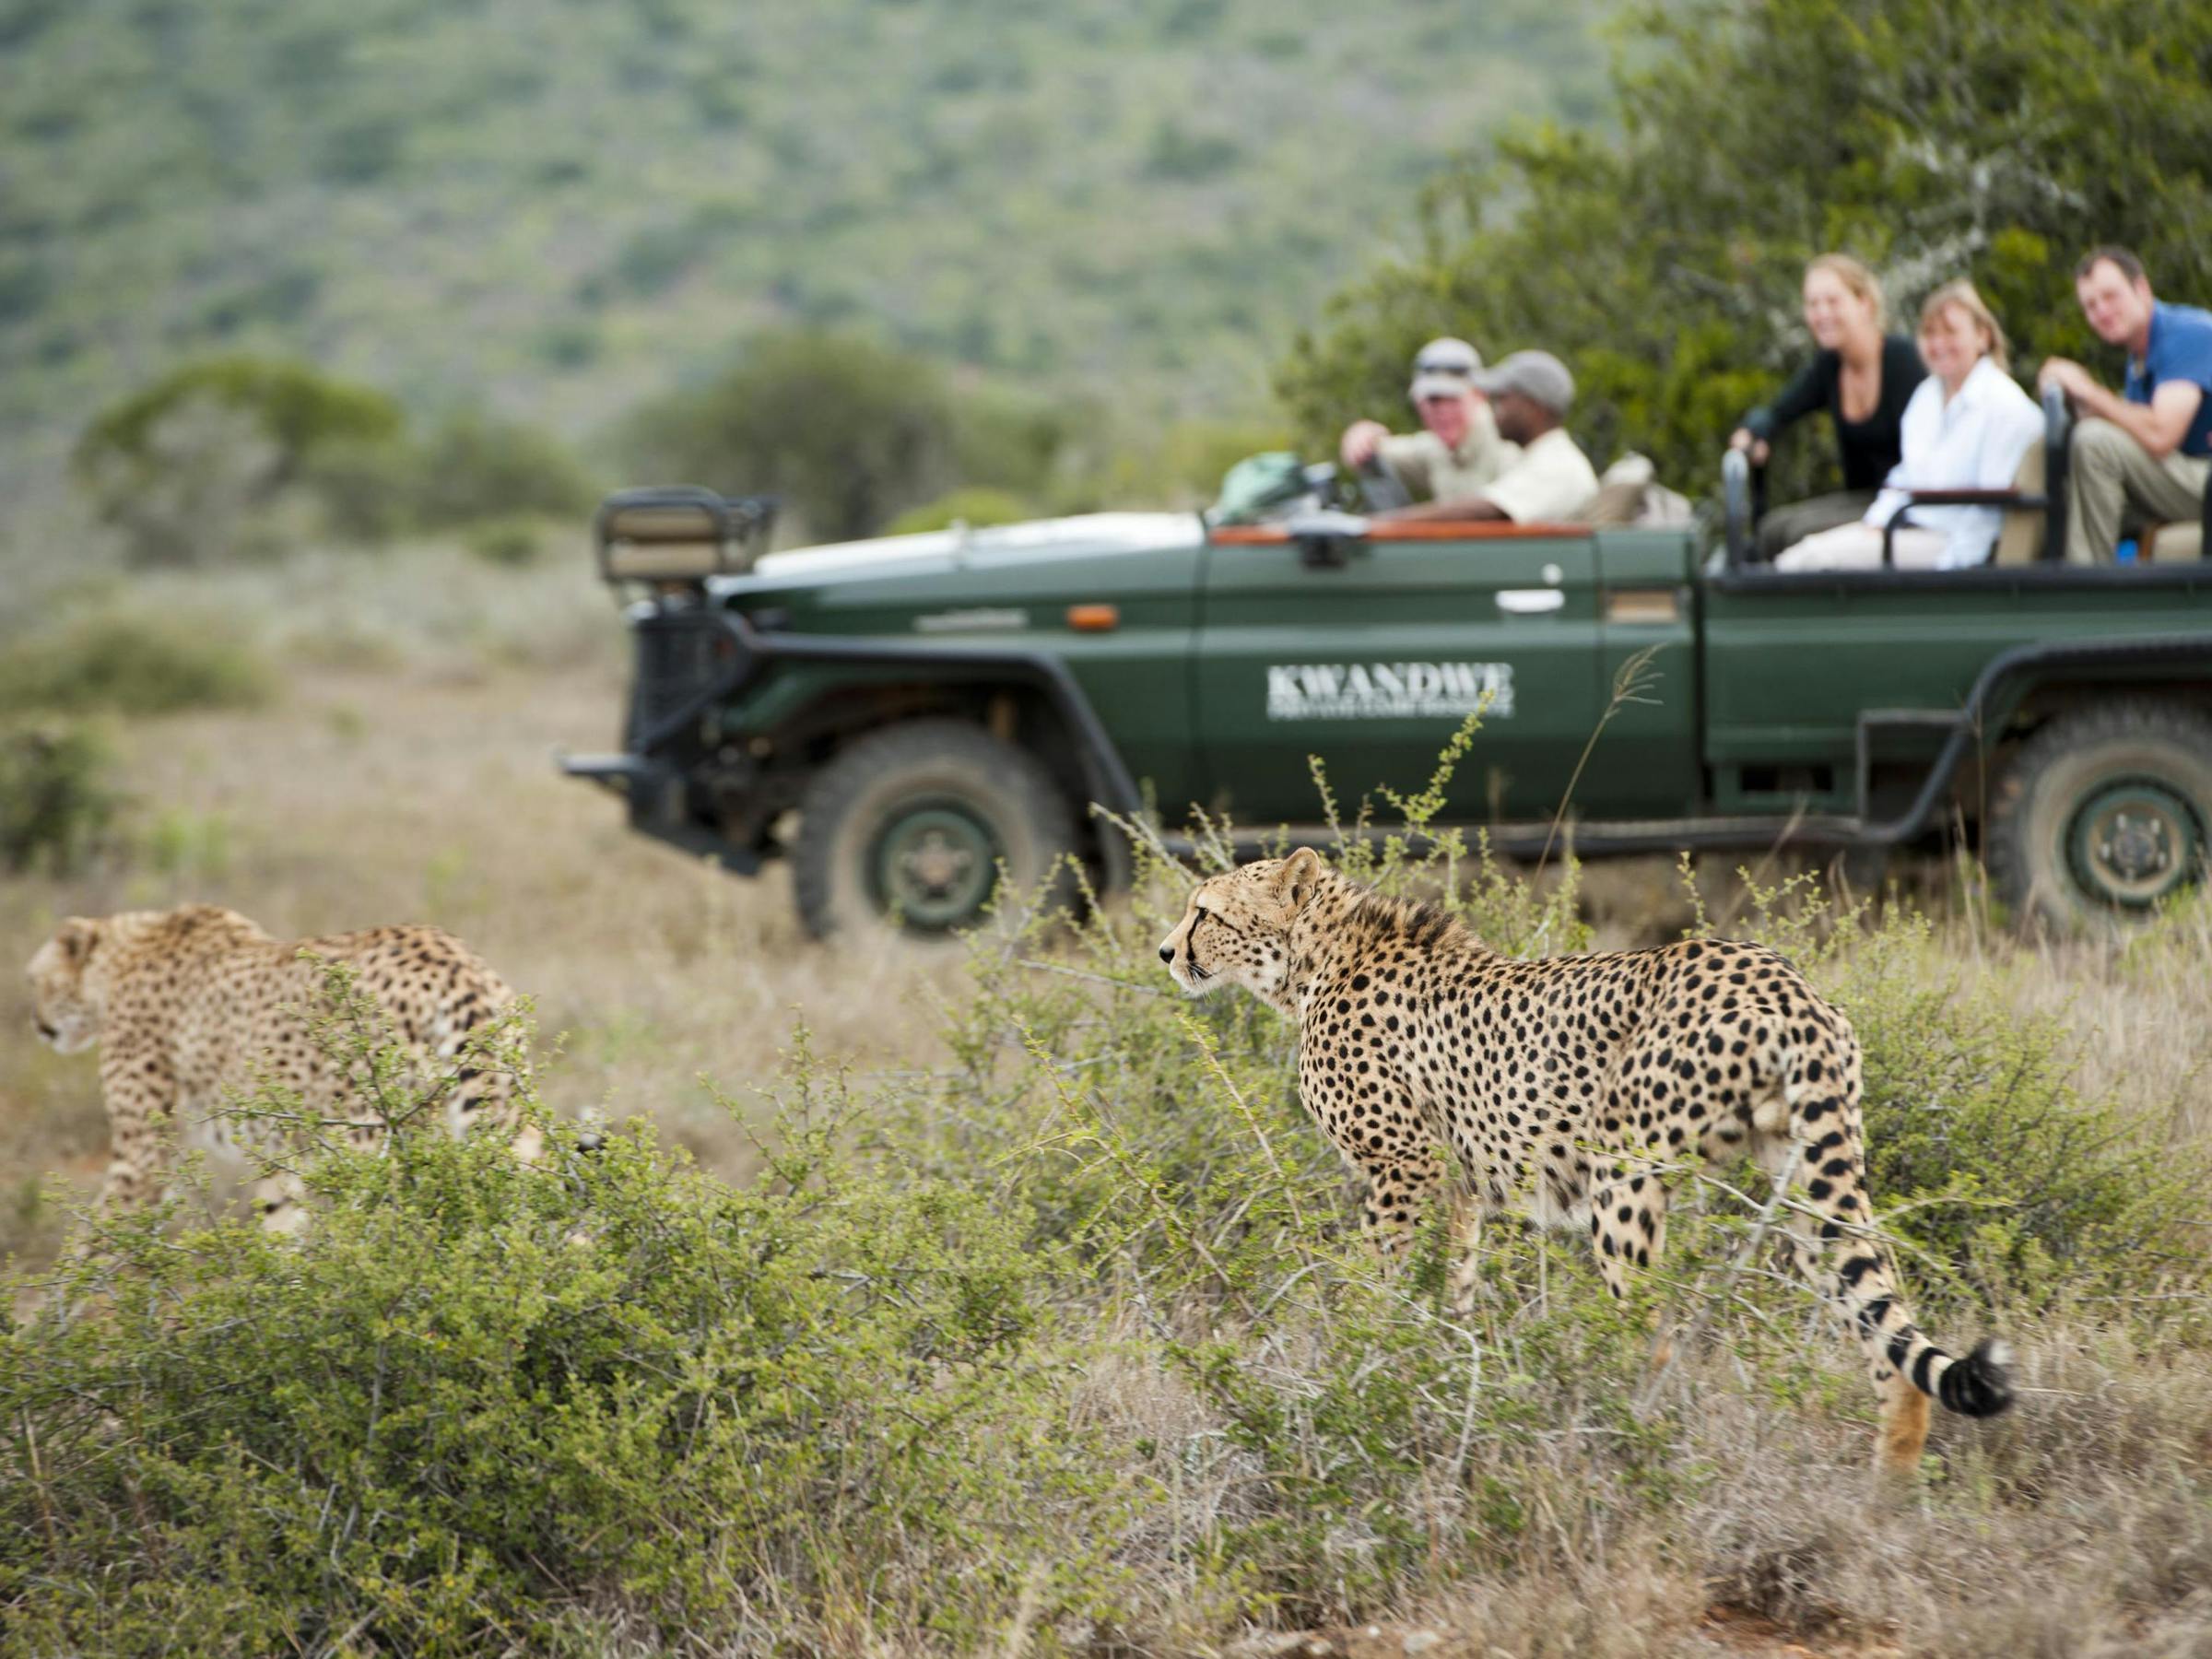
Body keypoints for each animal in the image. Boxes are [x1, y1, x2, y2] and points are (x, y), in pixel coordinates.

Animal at [26, 905, 538, 1233]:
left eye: (34, 981)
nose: (37, 1025)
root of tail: (449, 956)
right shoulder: (279, 1154)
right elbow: (280, 1227)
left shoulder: (142, 1158)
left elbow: (93, 1247)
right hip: (505, 1115)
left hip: (365, 1138)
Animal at [1158, 848, 2013, 1474]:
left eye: (1207, 912)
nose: (1166, 951)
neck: (1315, 962)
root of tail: (1779, 977)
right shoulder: (1458, 1188)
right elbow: (1452, 1295)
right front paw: (1435, 1378)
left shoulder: (1402, 1168)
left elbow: (1385, 1287)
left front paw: (1370, 1367)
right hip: (1806, 1177)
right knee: (1884, 1328)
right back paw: (1887, 1498)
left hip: (1622, 1173)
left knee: (1649, 1330)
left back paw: (1615, 1434)